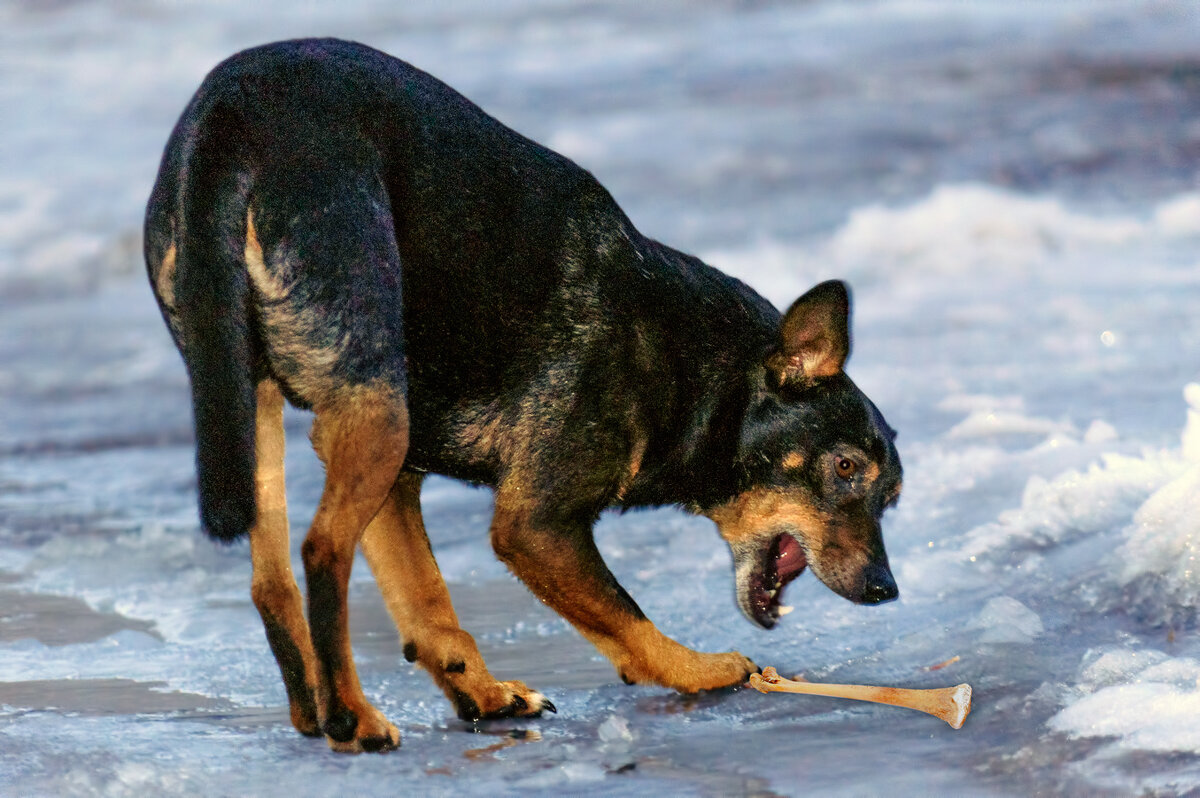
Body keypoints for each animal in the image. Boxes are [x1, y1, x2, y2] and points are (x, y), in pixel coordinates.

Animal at [142, 39, 902, 753]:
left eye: (890, 499)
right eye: (844, 468)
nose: (885, 590)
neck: (694, 364)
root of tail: (230, 117)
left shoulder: (396, 476)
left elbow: (428, 605)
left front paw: (480, 694)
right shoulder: (534, 524)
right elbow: (626, 615)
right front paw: (699, 670)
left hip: (256, 399)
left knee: (271, 579)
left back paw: (314, 713)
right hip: (374, 408)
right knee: (322, 550)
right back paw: (353, 718)